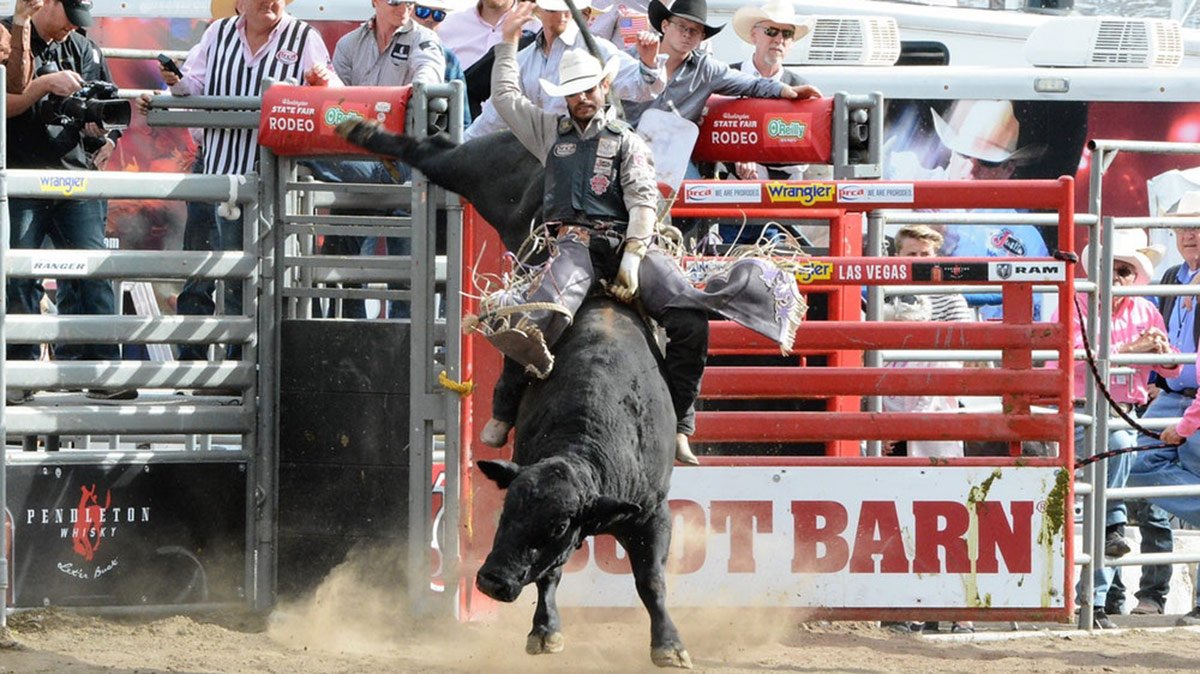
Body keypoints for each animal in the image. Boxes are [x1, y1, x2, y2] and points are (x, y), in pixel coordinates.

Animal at [338, 121, 696, 666]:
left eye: (555, 527)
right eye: (506, 511)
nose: (490, 581)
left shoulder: (652, 512)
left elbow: (650, 581)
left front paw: (669, 644)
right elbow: (551, 576)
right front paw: (544, 630)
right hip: (486, 176)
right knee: (432, 153)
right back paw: (361, 130)